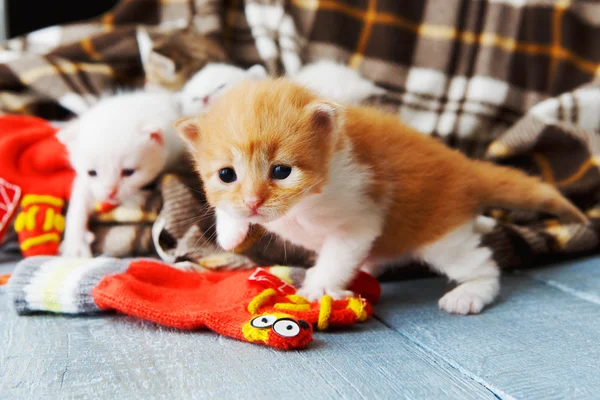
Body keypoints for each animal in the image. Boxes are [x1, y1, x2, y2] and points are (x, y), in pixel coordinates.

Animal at [59, 92, 186, 258]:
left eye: (128, 172)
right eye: (91, 172)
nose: (110, 193)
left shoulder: (176, 152)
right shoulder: (87, 183)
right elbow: (80, 201)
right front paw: (76, 242)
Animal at [175, 79, 584, 316]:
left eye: (281, 171)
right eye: (227, 174)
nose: (254, 202)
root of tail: (466, 168)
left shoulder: (358, 219)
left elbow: (337, 257)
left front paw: (316, 290)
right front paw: (232, 229)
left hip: (441, 237)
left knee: (480, 264)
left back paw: (470, 293)